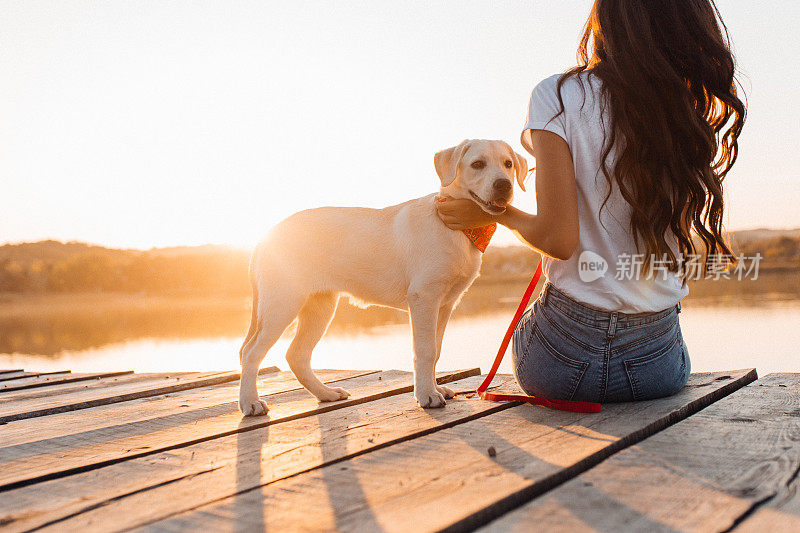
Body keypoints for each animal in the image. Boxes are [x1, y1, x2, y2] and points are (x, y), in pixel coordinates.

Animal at [238, 139, 524, 414]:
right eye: (477, 164)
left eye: (508, 164)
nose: (504, 185)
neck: (457, 228)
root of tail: (265, 237)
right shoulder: (424, 298)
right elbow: (425, 350)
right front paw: (427, 396)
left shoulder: (445, 304)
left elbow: (436, 350)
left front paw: (435, 389)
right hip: (281, 304)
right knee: (251, 352)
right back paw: (250, 403)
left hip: (320, 307)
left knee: (296, 355)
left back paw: (326, 393)